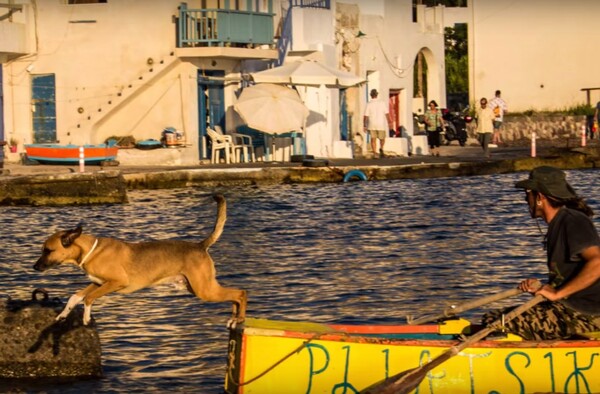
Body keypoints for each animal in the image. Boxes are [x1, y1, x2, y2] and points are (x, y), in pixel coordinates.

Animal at [31, 194, 247, 326]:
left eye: (48, 251)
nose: (34, 267)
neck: (91, 251)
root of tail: (200, 245)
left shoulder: (116, 282)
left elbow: (88, 298)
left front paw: (85, 318)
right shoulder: (97, 283)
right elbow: (75, 296)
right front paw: (63, 314)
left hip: (204, 290)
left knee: (240, 293)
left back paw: (239, 318)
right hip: (198, 288)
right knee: (235, 296)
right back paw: (234, 318)